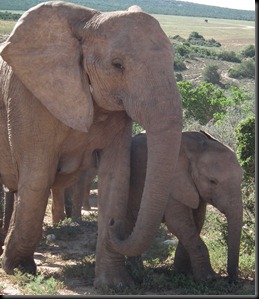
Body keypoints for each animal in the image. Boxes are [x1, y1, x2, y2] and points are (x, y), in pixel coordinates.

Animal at [0, 1, 183, 290]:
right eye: (117, 65)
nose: (113, 226)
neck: (88, 22)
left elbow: (116, 177)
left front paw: (115, 284)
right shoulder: (28, 96)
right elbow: (38, 178)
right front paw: (18, 268)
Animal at [125, 132, 245, 284]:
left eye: (241, 177)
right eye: (212, 181)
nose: (232, 280)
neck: (195, 148)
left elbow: (197, 221)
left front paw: (183, 272)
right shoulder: (173, 183)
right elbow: (178, 223)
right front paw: (208, 278)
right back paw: (137, 273)